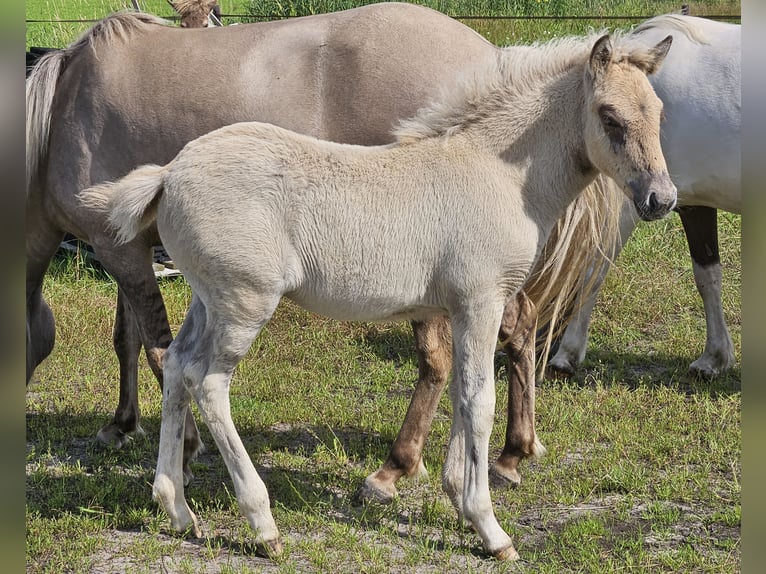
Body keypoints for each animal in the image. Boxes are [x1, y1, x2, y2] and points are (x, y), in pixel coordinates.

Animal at [81, 28, 676, 564]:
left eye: (660, 113)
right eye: (609, 116)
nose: (661, 199)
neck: (498, 171)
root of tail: (168, 173)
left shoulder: (459, 308)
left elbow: (461, 392)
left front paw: (455, 496)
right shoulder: (481, 301)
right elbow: (478, 401)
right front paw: (488, 527)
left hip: (207, 300)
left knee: (177, 365)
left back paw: (177, 508)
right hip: (243, 304)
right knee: (209, 383)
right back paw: (262, 524)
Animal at [552, 13, 744, 380]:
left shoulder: (638, 202)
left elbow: (594, 267)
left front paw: (567, 353)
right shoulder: (692, 202)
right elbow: (708, 275)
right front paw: (715, 358)